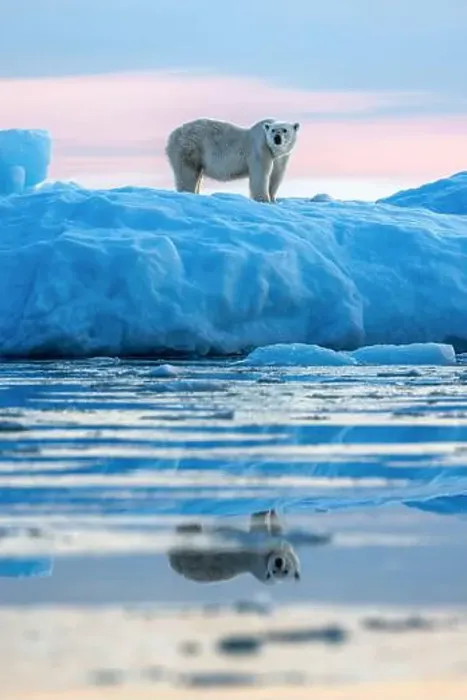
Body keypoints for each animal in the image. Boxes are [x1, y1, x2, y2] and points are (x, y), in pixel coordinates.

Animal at [165, 117, 300, 203]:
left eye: (284, 130)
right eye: (273, 130)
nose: (277, 138)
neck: (273, 150)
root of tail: (172, 135)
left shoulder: (281, 158)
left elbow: (276, 176)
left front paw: (273, 199)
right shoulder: (260, 148)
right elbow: (261, 175)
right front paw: (263, 200)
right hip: (189, 148)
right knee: (187, 174)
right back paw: (188, 193)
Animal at [167, 509, 301, 584]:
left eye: (286, 571)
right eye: (277, 570)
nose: (278, 562)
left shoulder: (260, 564)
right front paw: (271, 512)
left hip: (195, 560)